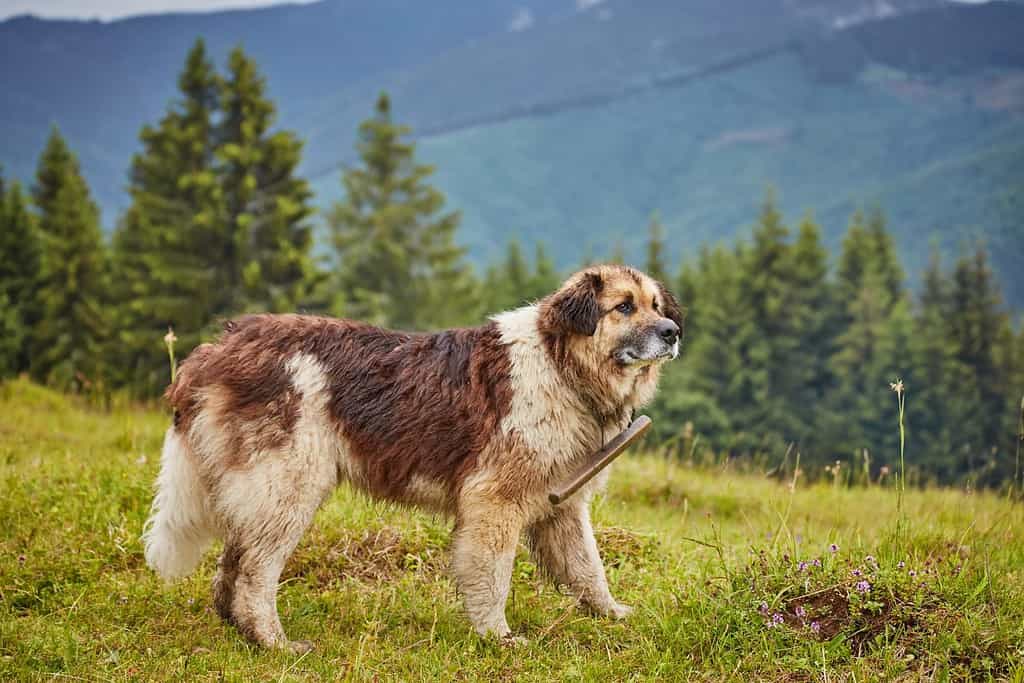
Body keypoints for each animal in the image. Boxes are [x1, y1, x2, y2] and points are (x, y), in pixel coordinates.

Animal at [144, 264, 684, 651]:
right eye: (623, 307)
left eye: (656, 306)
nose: (672, 331)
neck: (561, 366)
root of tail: (218, 346)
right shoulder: (494, 504)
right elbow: (493, 576)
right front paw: (498, 637)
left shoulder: (564, 506)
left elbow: (588, 569)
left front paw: (613, 615)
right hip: (288, 489)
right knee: (254, 575)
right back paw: (274, 643)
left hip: (266, 492)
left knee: (231, 567)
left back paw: (243, 636)